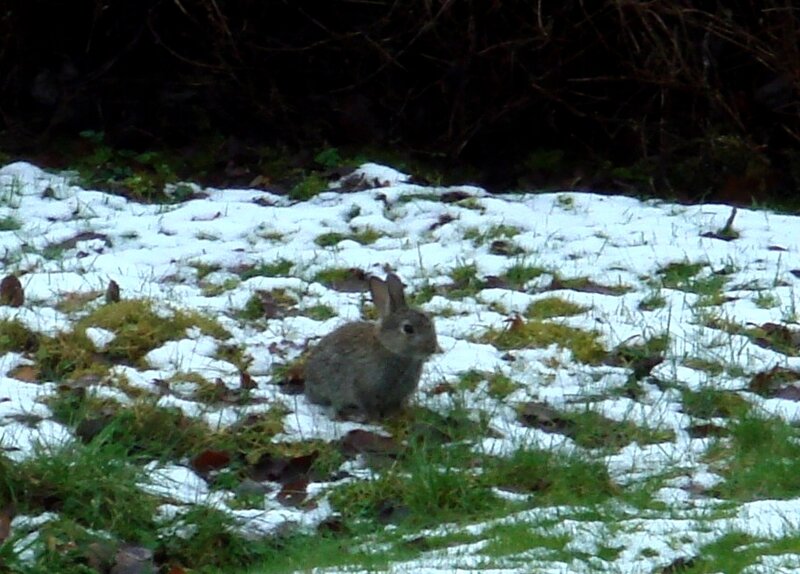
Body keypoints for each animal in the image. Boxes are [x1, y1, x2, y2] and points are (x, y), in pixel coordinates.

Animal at [304, 272, 441, 419]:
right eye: (408, 328)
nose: (432, 348)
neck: (389, 348)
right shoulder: (363, 386)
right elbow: (367, 404)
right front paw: (375, 418)